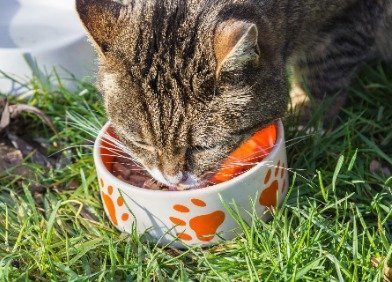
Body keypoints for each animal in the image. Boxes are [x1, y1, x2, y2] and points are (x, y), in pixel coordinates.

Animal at [75, 0, 390, 188]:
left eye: (204, 147)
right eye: (141, 142)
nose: (173, 180)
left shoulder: (349, 19)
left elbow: (323, 74)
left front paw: (310, 121)